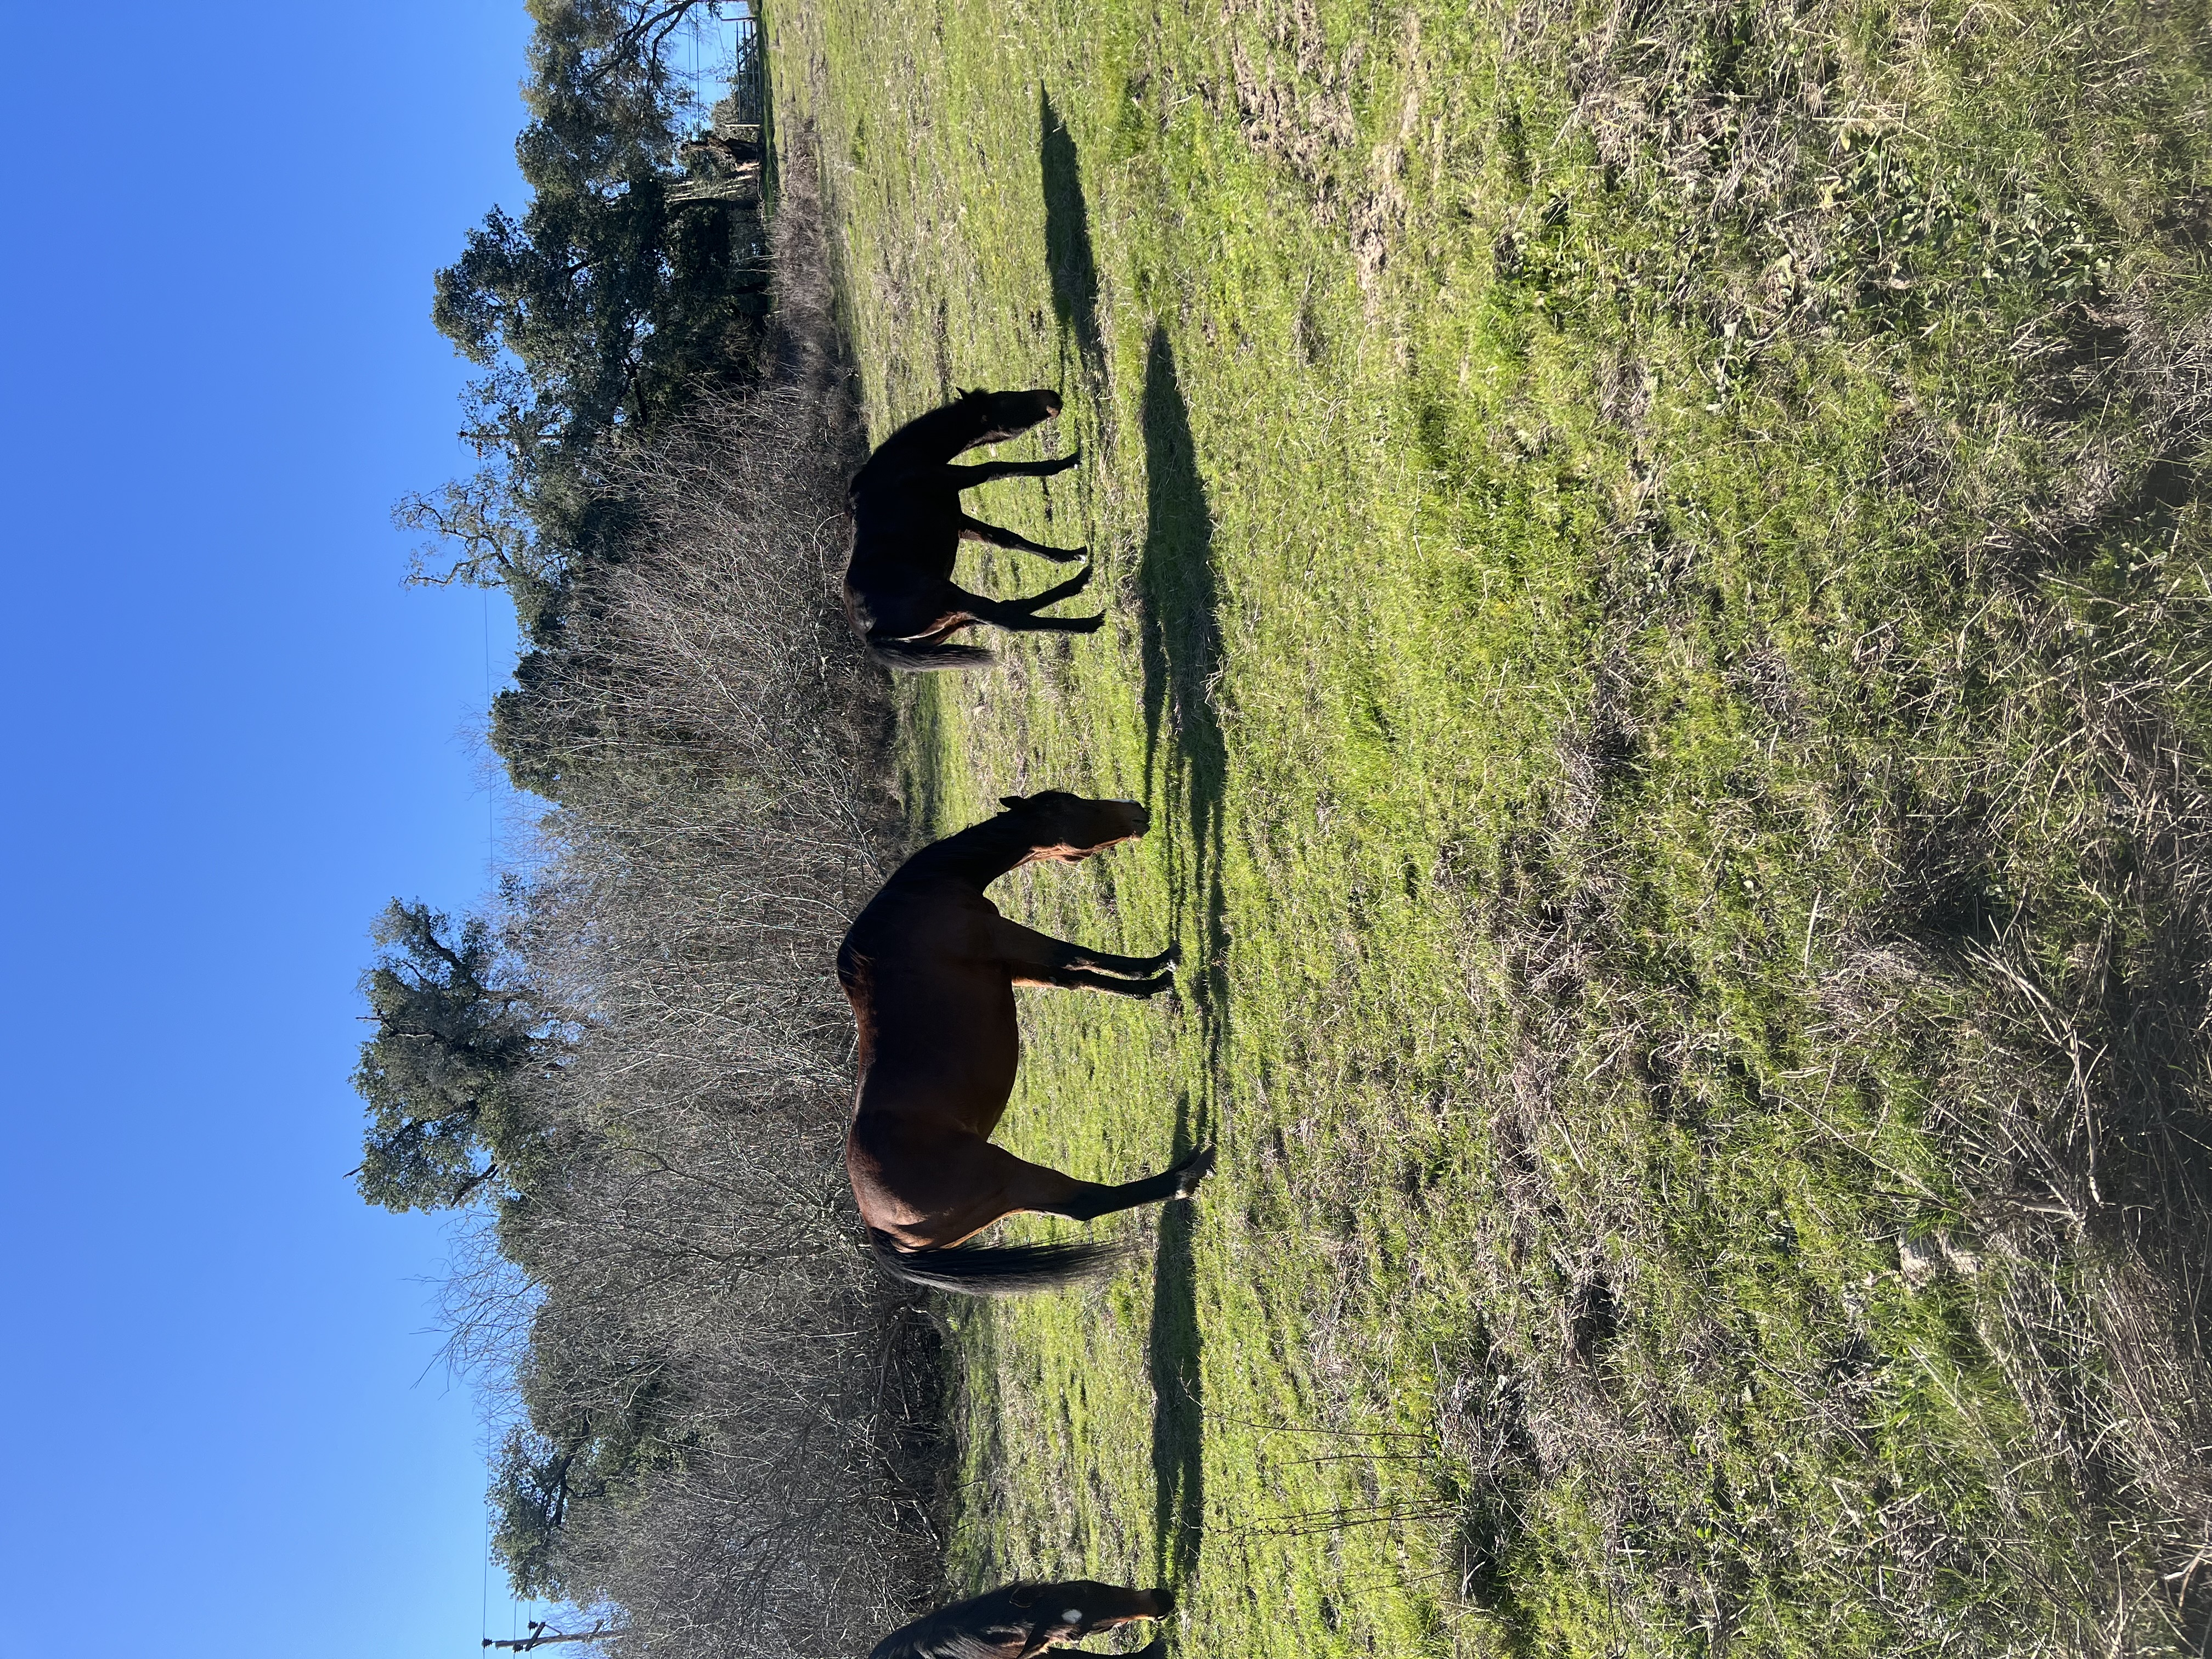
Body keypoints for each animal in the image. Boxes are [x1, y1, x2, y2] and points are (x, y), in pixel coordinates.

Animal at [837, 791, 1217, 1294]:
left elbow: (1077, 977)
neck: (921, 894)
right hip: (1012, 1178)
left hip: (1002, 1202)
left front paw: (1151, 983)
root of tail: (876, 1227)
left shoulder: (1015, 965)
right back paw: (1186, 1176)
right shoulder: (1007, 939)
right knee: (1086, 1202)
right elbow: (1076, 956)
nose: (1135, 809)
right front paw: (1163, 962)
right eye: (1068, 803)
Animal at [844, 387, 1101, 670]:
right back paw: (1087, 617)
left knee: (1011, 609)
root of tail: (870, 636)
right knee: (1009, 619)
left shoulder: (959, 522)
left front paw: (1069, 556)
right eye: (1005, 399)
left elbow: (1006, 538)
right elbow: (997, 469)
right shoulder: (957, 480)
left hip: (951, 620)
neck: (901, 459)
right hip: (952, 599)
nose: (1053, 397)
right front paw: (1070, 461)